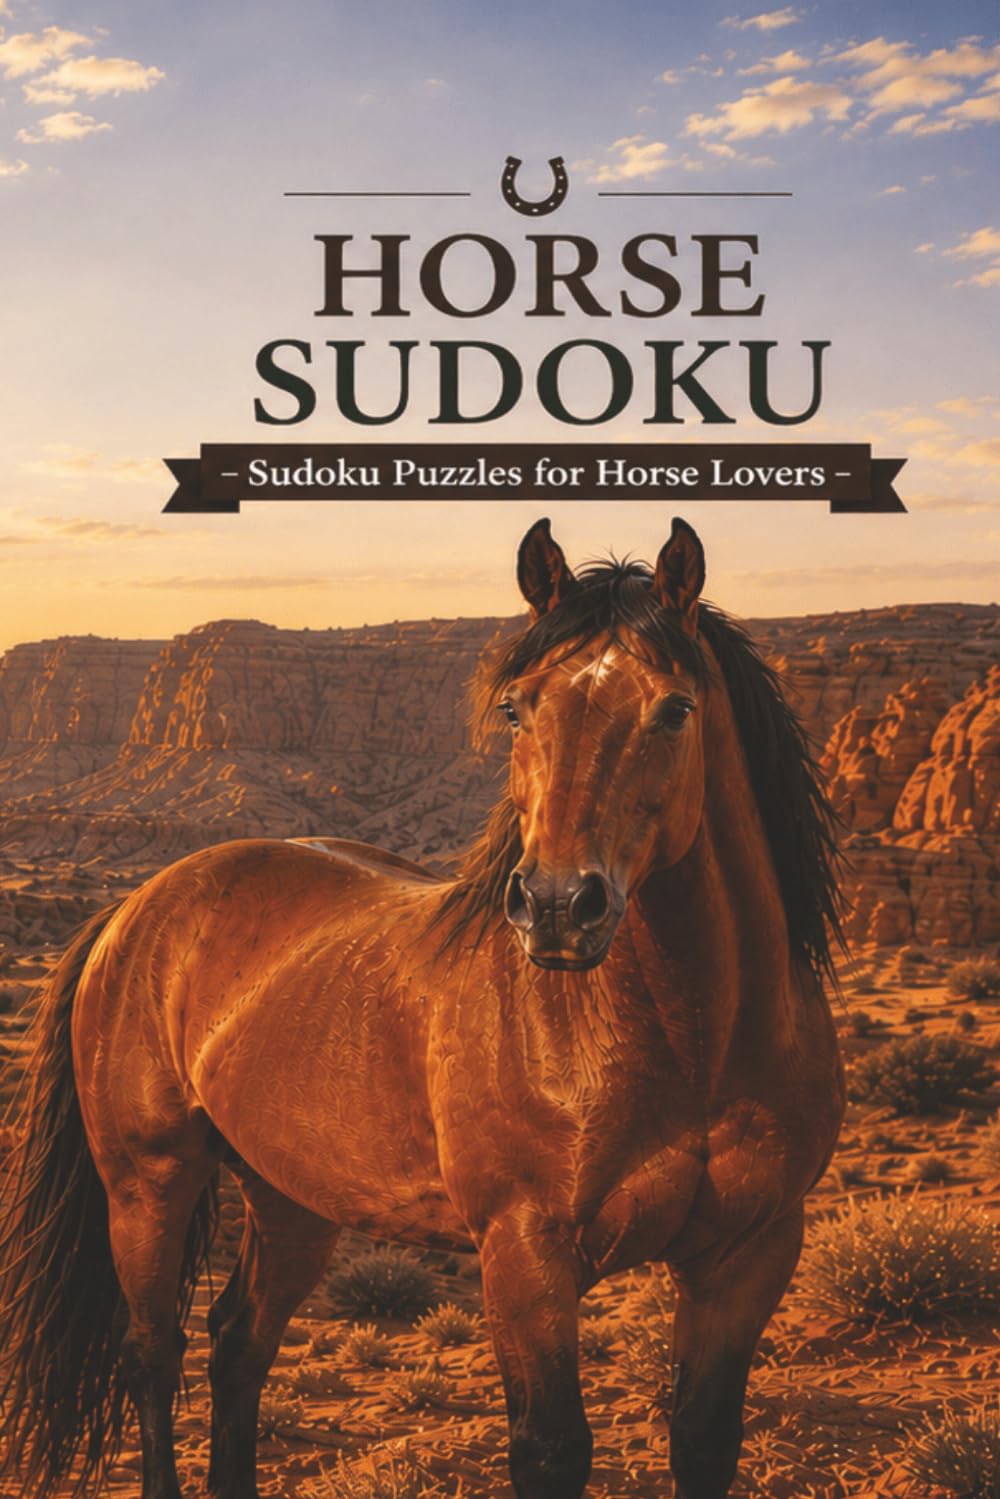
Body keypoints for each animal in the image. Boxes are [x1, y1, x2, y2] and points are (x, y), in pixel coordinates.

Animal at [0, 517, 845, 1499]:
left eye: (676, 708)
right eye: (516, 708)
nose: (558, 906)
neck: (690, 1041)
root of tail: (135, 907)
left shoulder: (747, 1255)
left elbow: (705, 1439)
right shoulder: (524, 1254)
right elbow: (551, 1448)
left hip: (291, 1193)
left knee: (238, 1344)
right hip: (147, 1179)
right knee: (152, 1352)